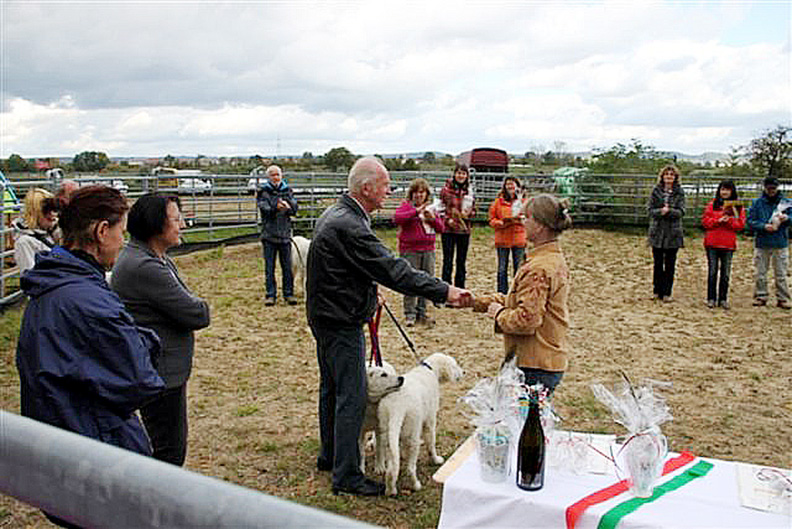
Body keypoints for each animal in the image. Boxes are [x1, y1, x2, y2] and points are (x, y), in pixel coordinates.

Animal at [374, 350, 460, 496]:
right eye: (454, 365)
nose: (463, 372)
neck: (429, 369)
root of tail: (396, 407)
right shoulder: (430, 420)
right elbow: (431, 443)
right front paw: (436, 460)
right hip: (413, 432)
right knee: (410, 468)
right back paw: (416, 485)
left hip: (386, 429)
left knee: (391, 468)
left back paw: (391, 490)